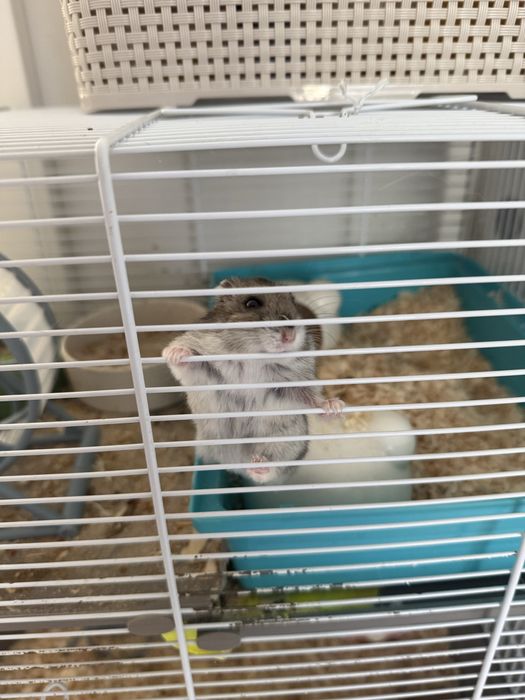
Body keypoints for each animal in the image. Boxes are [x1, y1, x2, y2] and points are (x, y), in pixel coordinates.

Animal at [162, 276, 345, 485]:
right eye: (251, 303)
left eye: (292, 299)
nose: (290, 336)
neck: (253, 357)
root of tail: (238, 465)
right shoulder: (206, 370)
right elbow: (187, 362)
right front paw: (172, 352)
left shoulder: (294, 382)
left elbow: (312, 398)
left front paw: (334, 406)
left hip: (289, 442)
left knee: (274, 469)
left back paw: (259, 465)